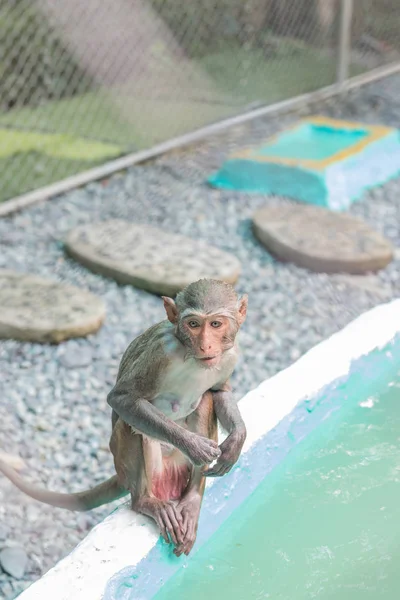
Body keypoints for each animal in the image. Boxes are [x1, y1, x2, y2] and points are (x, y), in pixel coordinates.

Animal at [0, 280, 247, 556]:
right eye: (193, 324)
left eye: (216, 324)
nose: (206, 345)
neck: (189, 355)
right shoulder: (160, 353)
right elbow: (122, 400)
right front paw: (194, 446)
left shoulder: (230, 355)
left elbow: (219, 391)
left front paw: (237, 440)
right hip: (141, 465)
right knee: (131, 424)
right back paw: (145, 502)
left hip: (175, 468)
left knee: (204, 400)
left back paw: (192, 500)